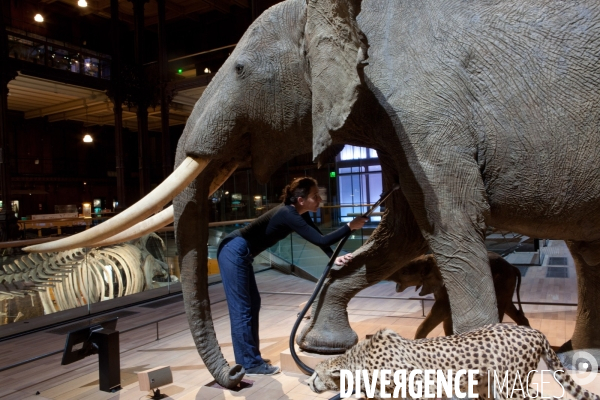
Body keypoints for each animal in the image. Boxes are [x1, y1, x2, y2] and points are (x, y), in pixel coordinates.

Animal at [308, 324, 596, 400]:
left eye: (315, 375)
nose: (309, 383)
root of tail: (533, 330)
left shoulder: (427, 387)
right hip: (487, 387)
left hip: (511, 387)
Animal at [390, 252, 528, 340]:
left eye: (404, 272)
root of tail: (513, 266)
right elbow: (447, 318)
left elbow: (441, 310)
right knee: (510, 307)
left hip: (502, 281)